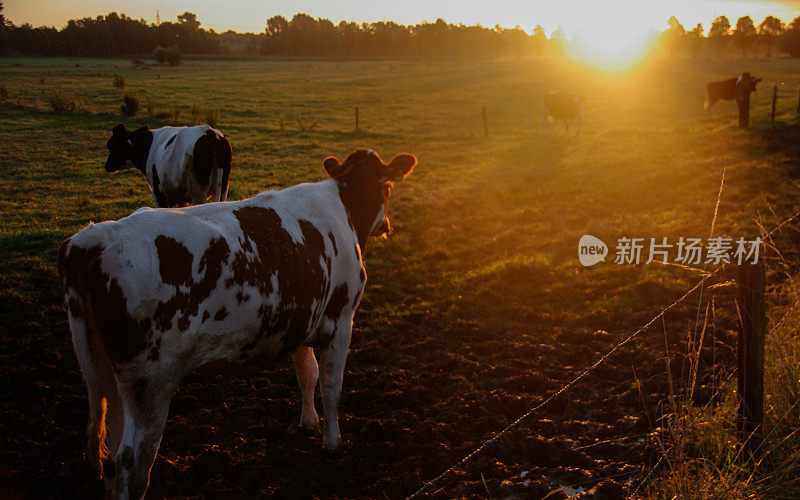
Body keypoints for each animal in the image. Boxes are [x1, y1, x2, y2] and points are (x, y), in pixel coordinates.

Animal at [59, 148, 416, 500]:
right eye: (387, 187)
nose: (385, 225)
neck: (343, 207)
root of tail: (93, 238)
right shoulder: (341, 320)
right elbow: (331, 386)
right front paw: (332, 444)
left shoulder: (302, 318)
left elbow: (307, 374)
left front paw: (307, 422)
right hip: (150, 379)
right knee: (131, 464)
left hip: (103, 369)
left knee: (109, 454)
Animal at [104, 124, 233, 208]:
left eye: (111, 145)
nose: (107, 166)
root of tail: (210, 132)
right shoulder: (180, 195)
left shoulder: (158, 192)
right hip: (223, 188)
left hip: (198, 192)